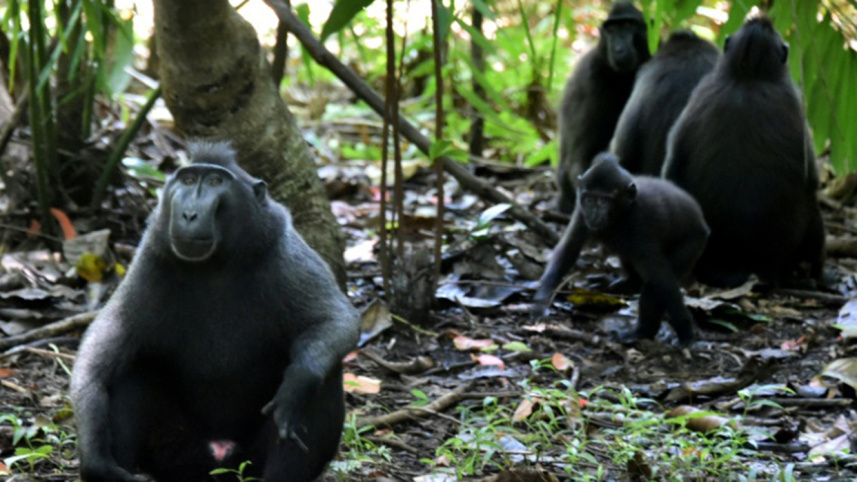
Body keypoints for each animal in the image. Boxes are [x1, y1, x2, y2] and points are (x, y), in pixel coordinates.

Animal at [70, 142, 359, 482]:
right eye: (187, 179)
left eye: (215, 182)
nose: (189, 214)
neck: (215, 266)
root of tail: (220, 457)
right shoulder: (150, 262)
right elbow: (100, 354)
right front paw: (94, 457)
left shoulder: (285, 253)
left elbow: (336, 320)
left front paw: (297, 384)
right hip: (178, 457)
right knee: (131, 371)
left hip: (246, 460)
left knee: (324, 375)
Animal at [536, 153, 709, 345]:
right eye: (589, 200)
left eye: (604, 201)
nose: (594, 213)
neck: (623, 211)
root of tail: (702, 223)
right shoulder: (581, 211)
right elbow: (569, 247)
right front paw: (541, 298)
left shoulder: (640, 220)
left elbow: (661, 278)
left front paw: (685, 329)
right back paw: (627, 285)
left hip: (693, 243)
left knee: (654, 282)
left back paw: (642, 332)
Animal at [662, 17, 825, 288]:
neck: (749, 74)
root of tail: (742, 262)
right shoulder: (793, 99)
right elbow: (812, 179)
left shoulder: (699, 94)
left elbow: (672, 167)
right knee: (813, 209)